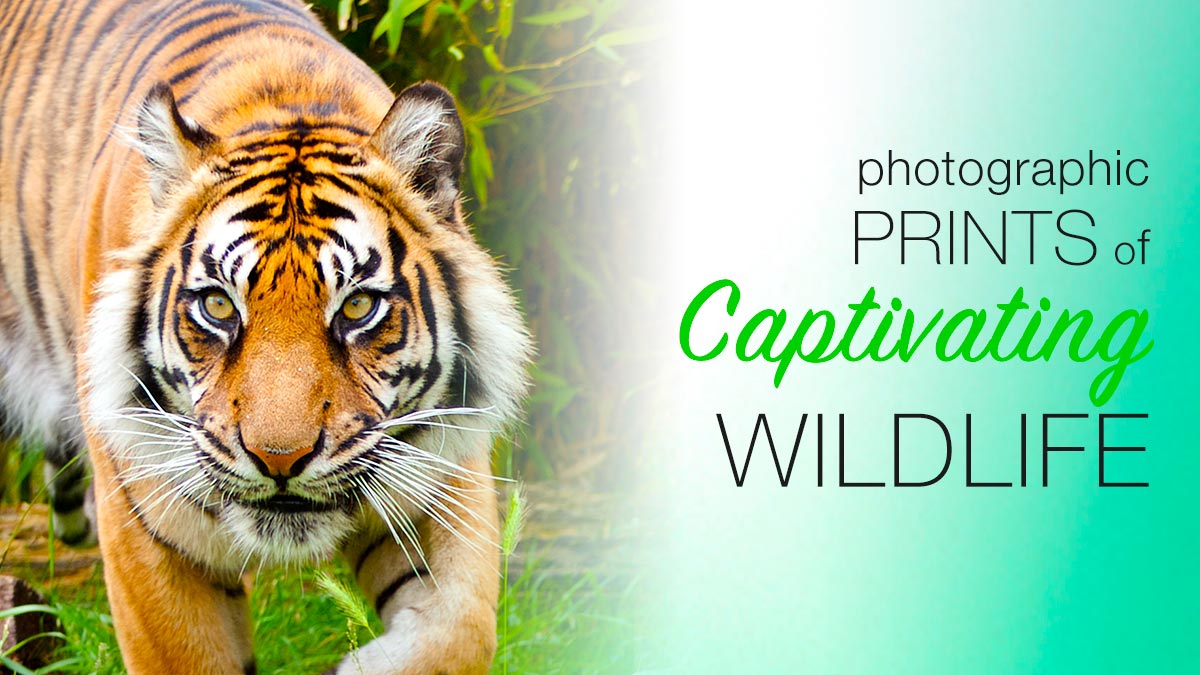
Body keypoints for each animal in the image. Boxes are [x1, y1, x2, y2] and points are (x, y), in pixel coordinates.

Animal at [0, 0, 532, 673]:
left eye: (357, 306)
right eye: (218, 307)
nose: (280, 459)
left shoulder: (441, 476)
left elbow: (460, 631)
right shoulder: (145, 519)